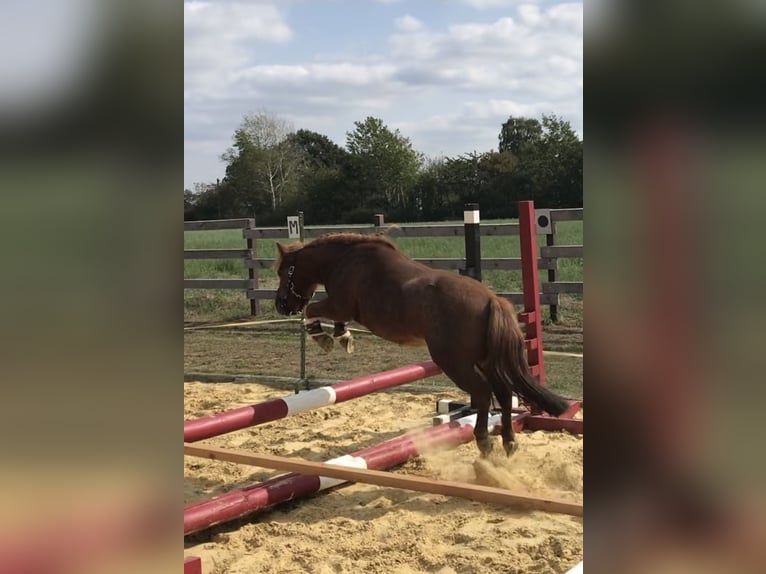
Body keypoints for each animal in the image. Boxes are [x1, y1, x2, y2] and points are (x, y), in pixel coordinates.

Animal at [276, 232, 568, 456]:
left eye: (282, 272)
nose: (281, 305)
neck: (344, 260)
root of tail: (492, 300)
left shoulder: (341, 304)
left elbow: (313, 309)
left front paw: (323, 336)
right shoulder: (342, 308)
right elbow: (330, 318)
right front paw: (341, 335)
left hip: (454, 363)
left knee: (484, 393)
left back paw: (484, 441)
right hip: (485, 361)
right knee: (505, 394)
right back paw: (508, 442)